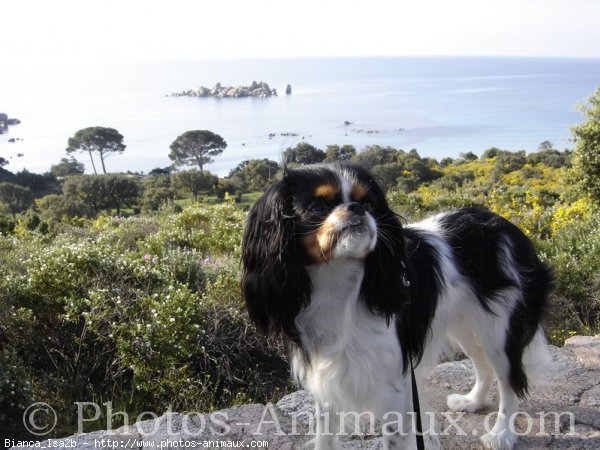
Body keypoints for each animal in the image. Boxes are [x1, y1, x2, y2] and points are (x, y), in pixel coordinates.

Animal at [240, 163, 552, 450]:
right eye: (317, 207)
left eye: (368, 203)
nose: (356, 208)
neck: (336, 280)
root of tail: (510, 229)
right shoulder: (327, 378)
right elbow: (324, 436)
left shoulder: (393, 385)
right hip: (468, 325)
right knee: (483, 366)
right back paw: (472, 402)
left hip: (500, 331)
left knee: (510, 381)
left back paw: (501, 434)